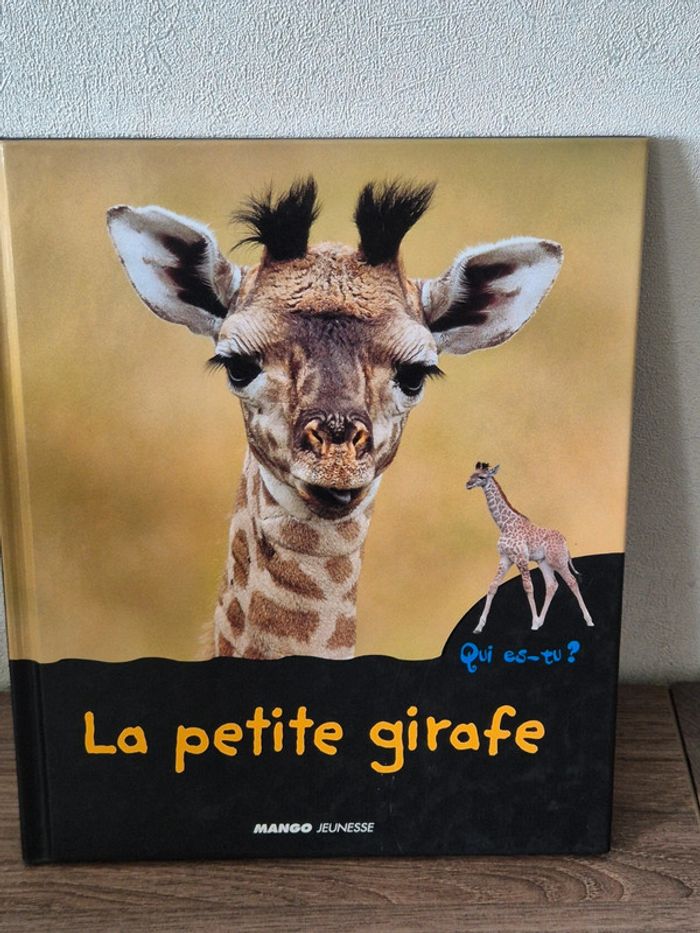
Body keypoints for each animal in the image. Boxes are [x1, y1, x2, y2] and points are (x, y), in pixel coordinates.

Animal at [466, 462, 594, 633]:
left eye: (481, 477)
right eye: (471, 474)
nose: (468, 484)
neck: (504, 525)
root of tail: (565, 542)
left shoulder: (521, 558)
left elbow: (528, 587)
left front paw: (533, 623)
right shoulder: (505, 559)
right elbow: (492, 586)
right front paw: (479, 627)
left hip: (558, 561)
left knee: (572, 581)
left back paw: (589, 620)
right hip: (544, 562)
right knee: (552, 585)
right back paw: (541, 621)